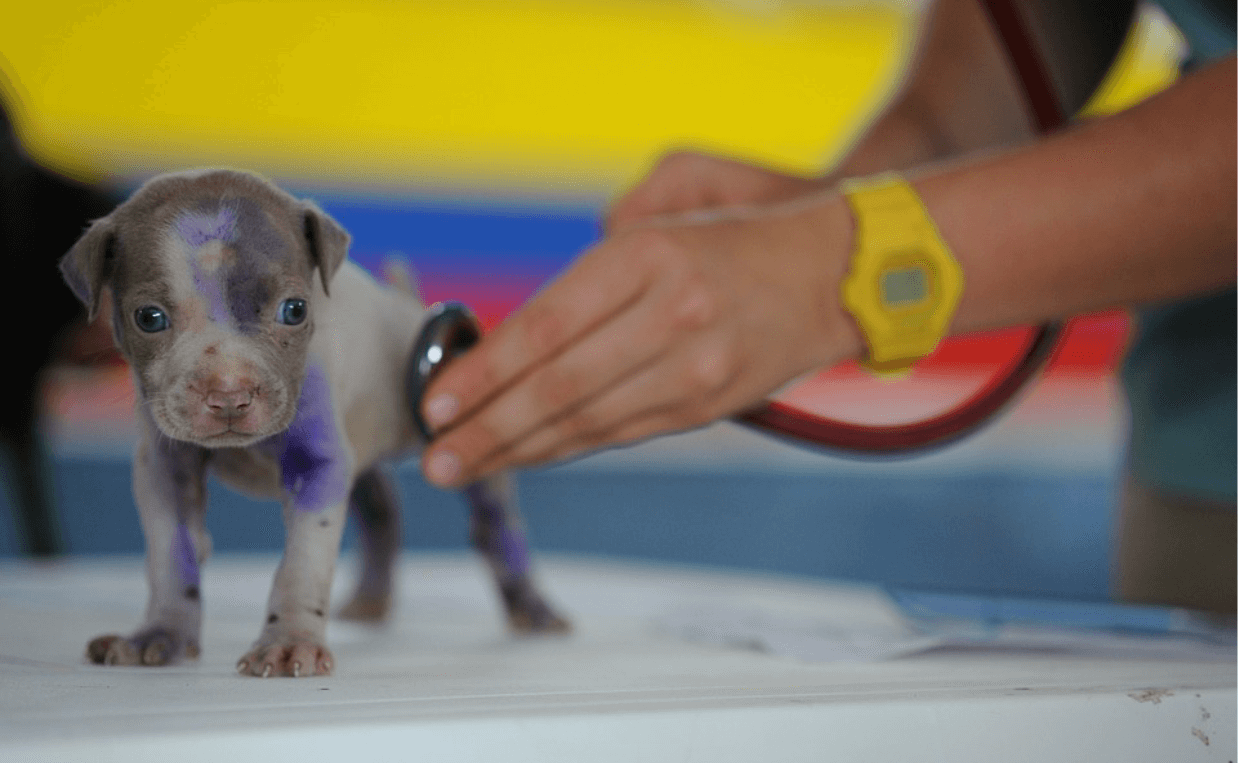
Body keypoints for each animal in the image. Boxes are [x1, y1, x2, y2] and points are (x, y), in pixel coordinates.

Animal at [59, 169, 569, 678]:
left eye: (295, 310)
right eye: (149, 318)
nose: (229, 395)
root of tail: (406, 305)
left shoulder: (318, 466)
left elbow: (301, 564)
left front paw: (289, 642)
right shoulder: (164, 469)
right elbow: (172, 554)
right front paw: (161, 634)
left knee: (494, 523)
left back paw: (534, 608)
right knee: (383, 508)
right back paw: (370, 600)